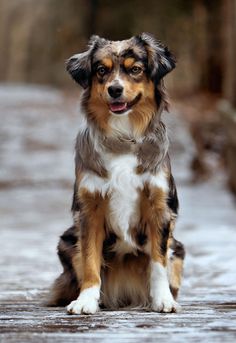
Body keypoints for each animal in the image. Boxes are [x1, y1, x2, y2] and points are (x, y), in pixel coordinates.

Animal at [48, 32, 184, 314]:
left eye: (135, 70)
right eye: (101, 70)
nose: (115, 89)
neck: (123, 137)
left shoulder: (159, 206)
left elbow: (158, 261)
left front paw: (163, 299)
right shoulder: (89, 208)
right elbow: (90, 259)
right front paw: (86, 300)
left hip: (179, 247)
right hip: (67, 240)